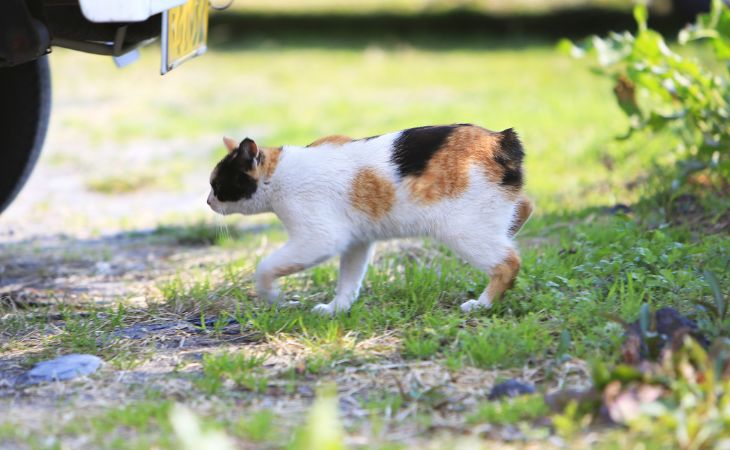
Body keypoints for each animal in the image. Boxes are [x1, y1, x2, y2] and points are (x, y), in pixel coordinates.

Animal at [208, 122, 532, 312]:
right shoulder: (356, 242)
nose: (208, 200)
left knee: (508, 263)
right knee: (525, 207)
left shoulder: (319, 238)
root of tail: (501, 140)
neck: (278, 173)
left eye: (217, 185)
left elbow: (265, 267)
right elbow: (349, 280)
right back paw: (512, 230)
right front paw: (336, 309)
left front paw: (272, 295)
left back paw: (483, 304)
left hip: (463, 230)